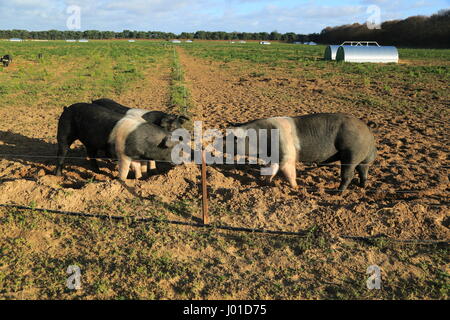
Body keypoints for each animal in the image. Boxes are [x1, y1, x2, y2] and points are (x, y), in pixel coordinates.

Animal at [227, 113, 378, 192]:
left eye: (233, 139)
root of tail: (368, 130)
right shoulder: (276, 157)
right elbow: (272, 169)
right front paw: (266, 182)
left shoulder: (288, 155)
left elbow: (288, 172)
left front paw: (296, 188)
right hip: (363, 159)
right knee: (363, 171)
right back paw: (362, 186)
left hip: (351, 154)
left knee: (348, 175)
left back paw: (337, 193)